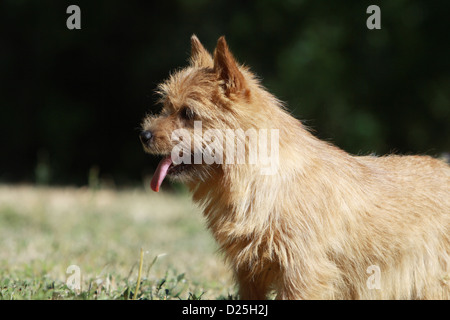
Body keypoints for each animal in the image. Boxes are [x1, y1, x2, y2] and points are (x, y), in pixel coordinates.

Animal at [139, 35, 448, 300]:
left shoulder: (302, 273)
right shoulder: (249, 272)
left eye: (188, 113)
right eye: (165, 106)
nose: (144, 135)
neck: (258, 181)